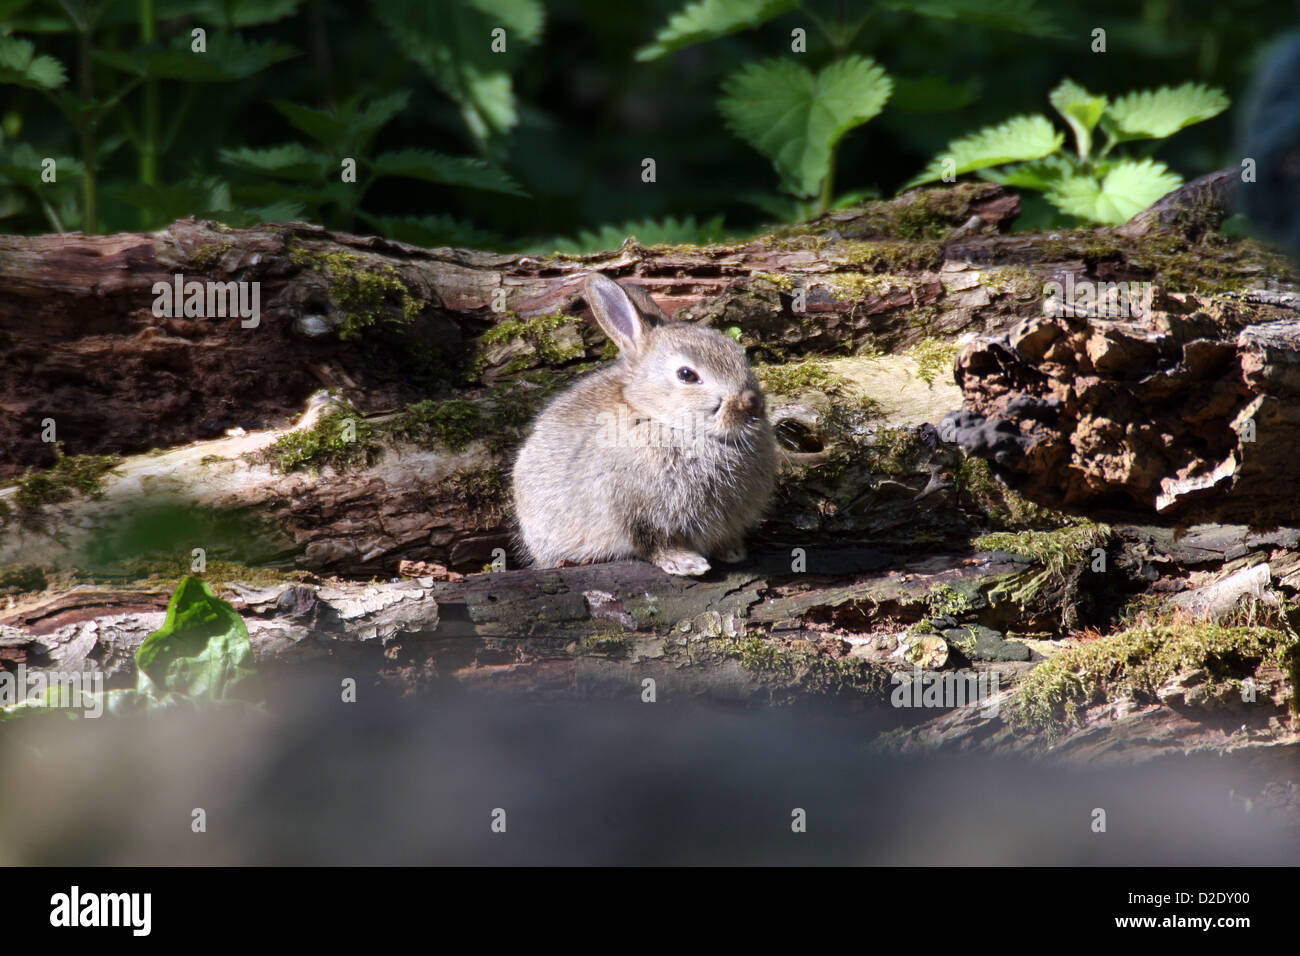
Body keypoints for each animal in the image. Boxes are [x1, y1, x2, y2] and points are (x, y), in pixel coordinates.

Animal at [511, 273, 777, 576]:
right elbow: (654, 543)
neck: (663, 419)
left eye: (739, 355)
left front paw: (732, 553)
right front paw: (686, 564)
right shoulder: (635, 515)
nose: (752, 404)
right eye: (687, 375)